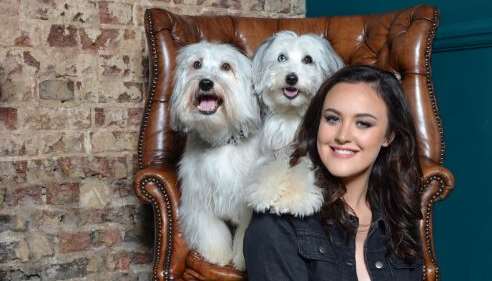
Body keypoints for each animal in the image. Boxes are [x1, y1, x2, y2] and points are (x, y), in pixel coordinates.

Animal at [170, 40, 260, 268]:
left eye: (226, 67)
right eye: (196, 64)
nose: (205, 83)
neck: (221, 141)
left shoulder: (247, 207)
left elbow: (245, 233)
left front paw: (240, 260)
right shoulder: (199, 198)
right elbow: (212, 230)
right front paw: (217, 255)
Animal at [246, 31, 346, 217]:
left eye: (308, 59)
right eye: (281, 58)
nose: (291, 78)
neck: (291, 115)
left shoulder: (310, 152)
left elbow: (302, 169)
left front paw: (295, 199)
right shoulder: (272, 150)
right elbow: (270, 166)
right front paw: (264, 193)